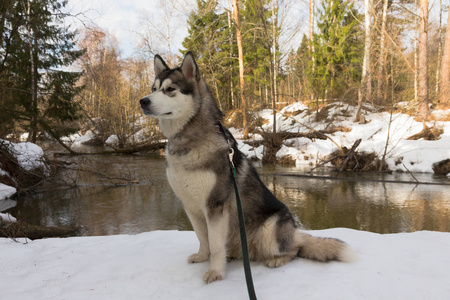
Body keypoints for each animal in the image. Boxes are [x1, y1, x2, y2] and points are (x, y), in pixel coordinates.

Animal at [139, 51, 354, 284]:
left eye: (170, 89)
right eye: (153, 88)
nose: (143, 101)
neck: (188, 139)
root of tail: (294, 234)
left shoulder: (215, 205)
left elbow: (215, 244)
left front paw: (215, 271)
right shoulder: (190, 206)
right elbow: (203, 237)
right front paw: (202, 256)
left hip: (270, 230)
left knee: (295, 250)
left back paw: (277, 259)